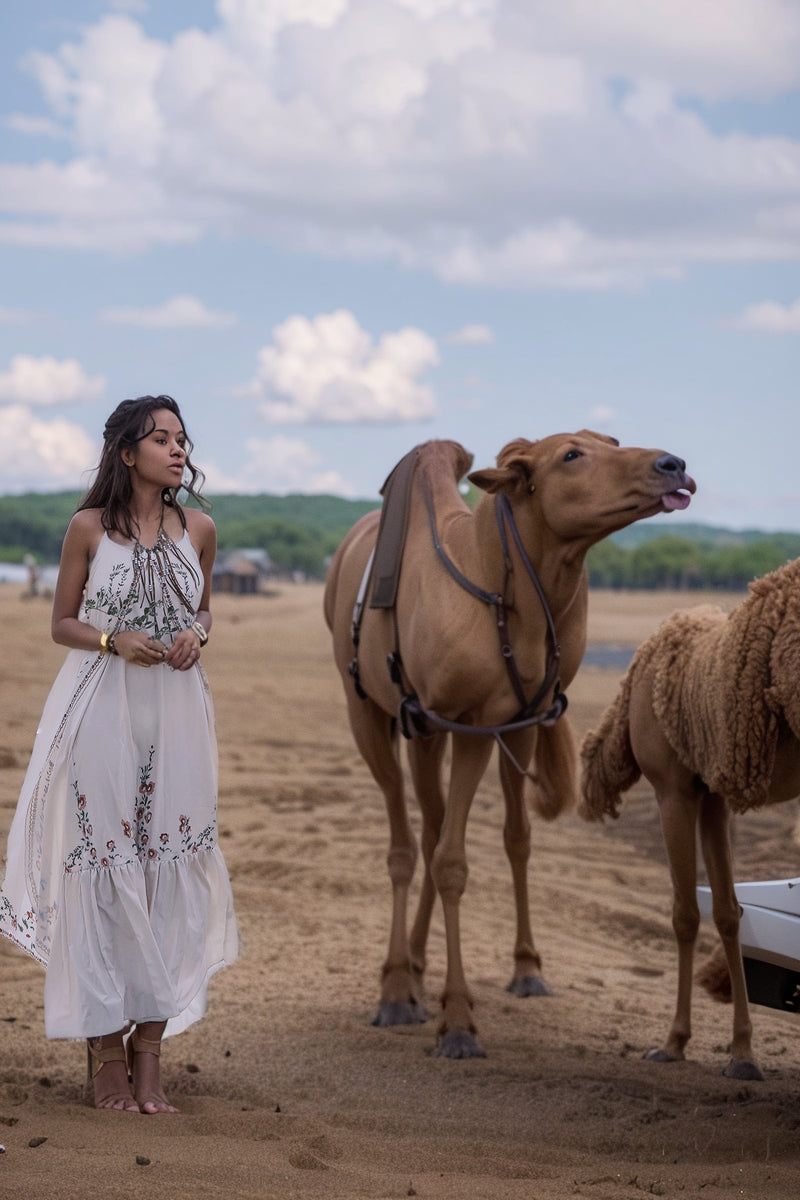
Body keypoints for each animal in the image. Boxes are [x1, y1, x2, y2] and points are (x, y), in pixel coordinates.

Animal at [323, 434, 695, 1060]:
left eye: (613, 442)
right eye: (571, 455)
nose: (674, 465)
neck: (492, 590)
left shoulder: (503, 723)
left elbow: (499, 844)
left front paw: (521, 971)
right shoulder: (460, 723)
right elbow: (445, 861)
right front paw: (455, 1021)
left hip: (434, 734)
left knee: (439, 829)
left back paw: (425, 965)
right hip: (368, 714)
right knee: (405, 843)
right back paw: (397, 986)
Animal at [578, 556, 800, 1084]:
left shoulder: (672, 792)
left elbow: (684, 913)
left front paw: (673, 1042)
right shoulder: (712, 792)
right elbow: (728, 912)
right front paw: (742, 1052)